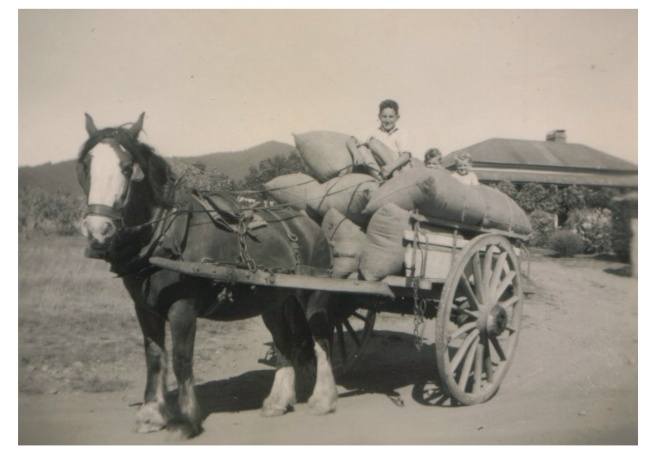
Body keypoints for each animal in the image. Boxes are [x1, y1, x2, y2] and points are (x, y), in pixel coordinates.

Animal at [77, 113, 341, 438]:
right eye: (86, 166)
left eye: (127, 168)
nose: (97, 230)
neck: (165, 235)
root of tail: (309, 223)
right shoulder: (144, 308)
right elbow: (154, 357)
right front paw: (151, 414)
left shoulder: (183, 308)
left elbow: (181, 358)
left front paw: (185, 420)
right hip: (275, 301)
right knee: (284, 342)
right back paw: (277, 402)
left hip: (314, 293)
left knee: (322, 338)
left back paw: (323, 399)